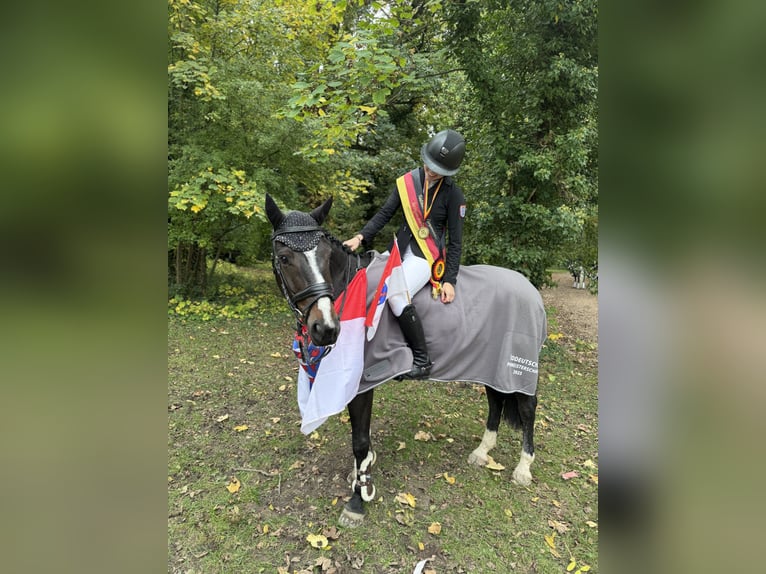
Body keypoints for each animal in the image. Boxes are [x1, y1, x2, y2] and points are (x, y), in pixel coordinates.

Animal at [266, 194, 545, 527]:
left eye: (324, 255)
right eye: (284, 258)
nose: (327, 328)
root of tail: (531, 291)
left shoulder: (363, 380)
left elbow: (359, 438)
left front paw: (357, 500)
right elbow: (362, 436)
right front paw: (360, 472)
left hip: (517, 366)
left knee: (527, 408)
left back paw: (523, 468)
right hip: (492, 364)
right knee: (496, 400)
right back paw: (482, 452)